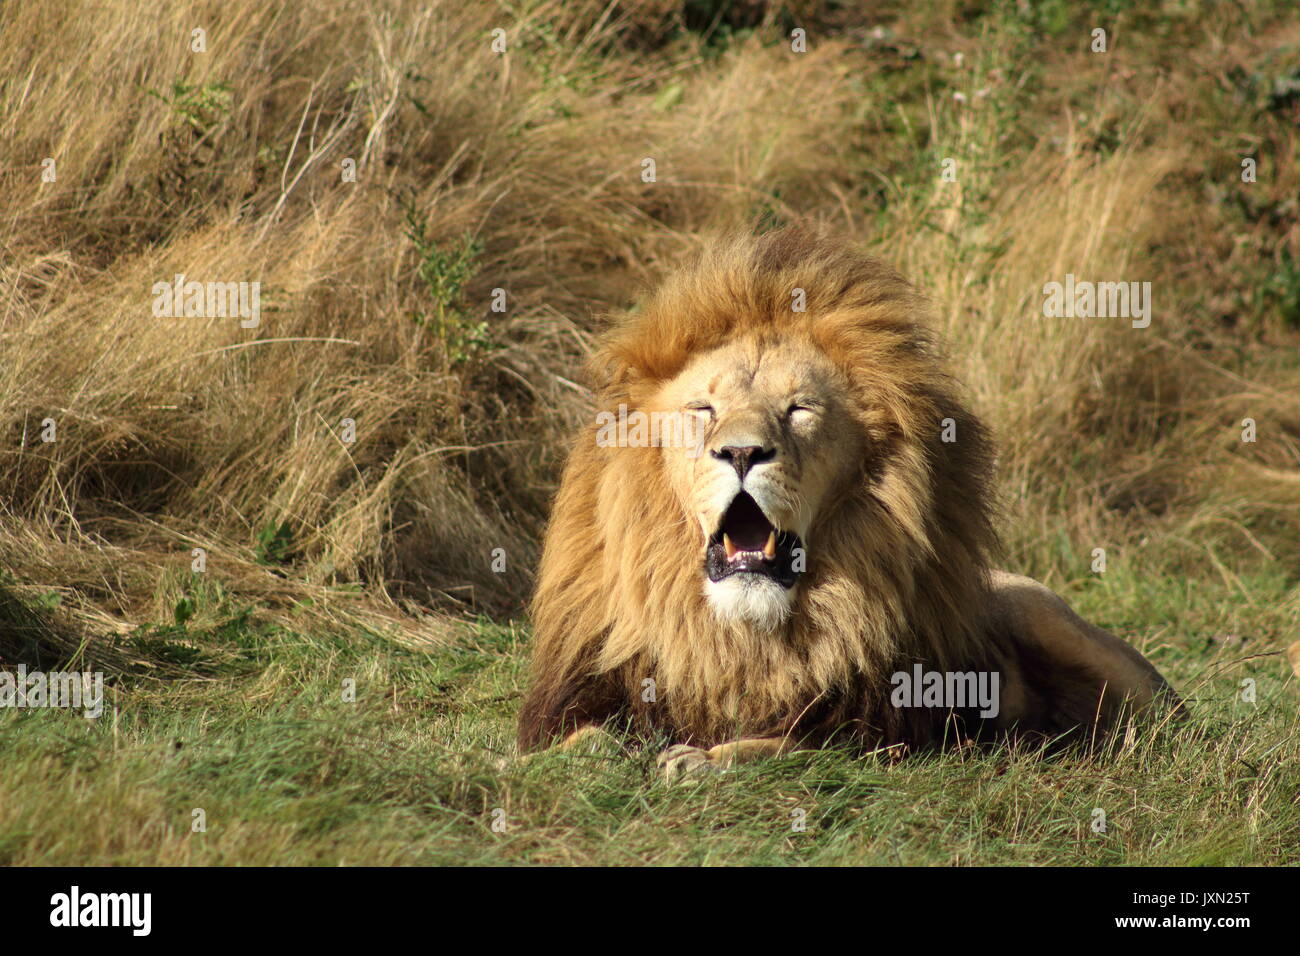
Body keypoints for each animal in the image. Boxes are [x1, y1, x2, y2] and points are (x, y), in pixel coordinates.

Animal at [517, 228, 1180, 778]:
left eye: (799, 410)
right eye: (703, 409)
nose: (741, 453)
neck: (739, 638)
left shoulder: (877, 732)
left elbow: (783, 746)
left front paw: (701, 759)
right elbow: (580, 740)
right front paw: (553, 761)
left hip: (1047, 619)